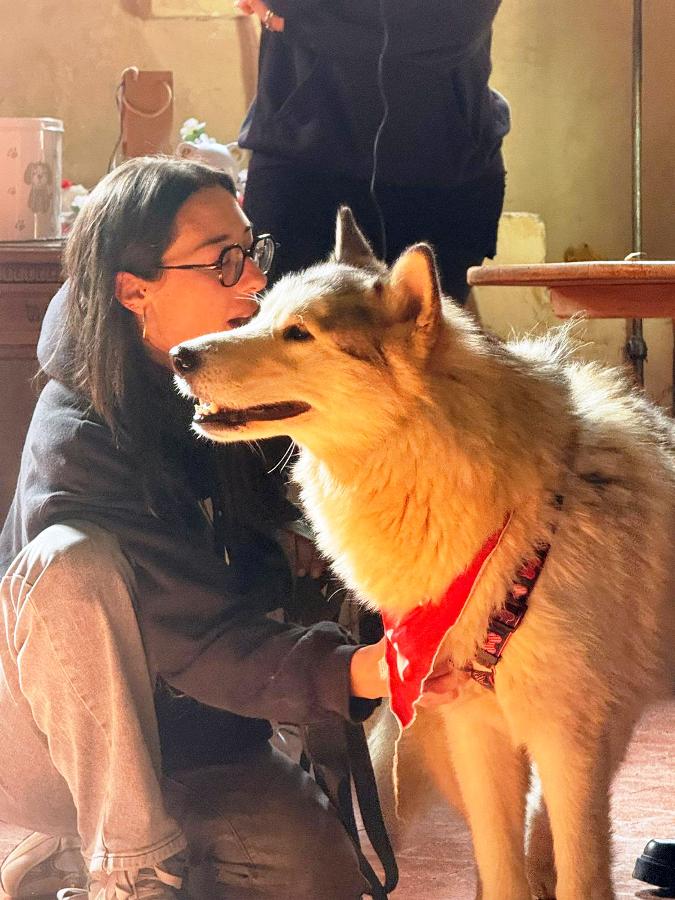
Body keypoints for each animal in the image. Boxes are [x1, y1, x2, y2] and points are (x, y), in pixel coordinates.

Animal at [172, 208, 675, 900]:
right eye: (257, 313)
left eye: (297, 333)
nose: (180, 355)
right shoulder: (478, 737)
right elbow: (504, 874)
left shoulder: (571, 745)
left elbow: (579, 873)